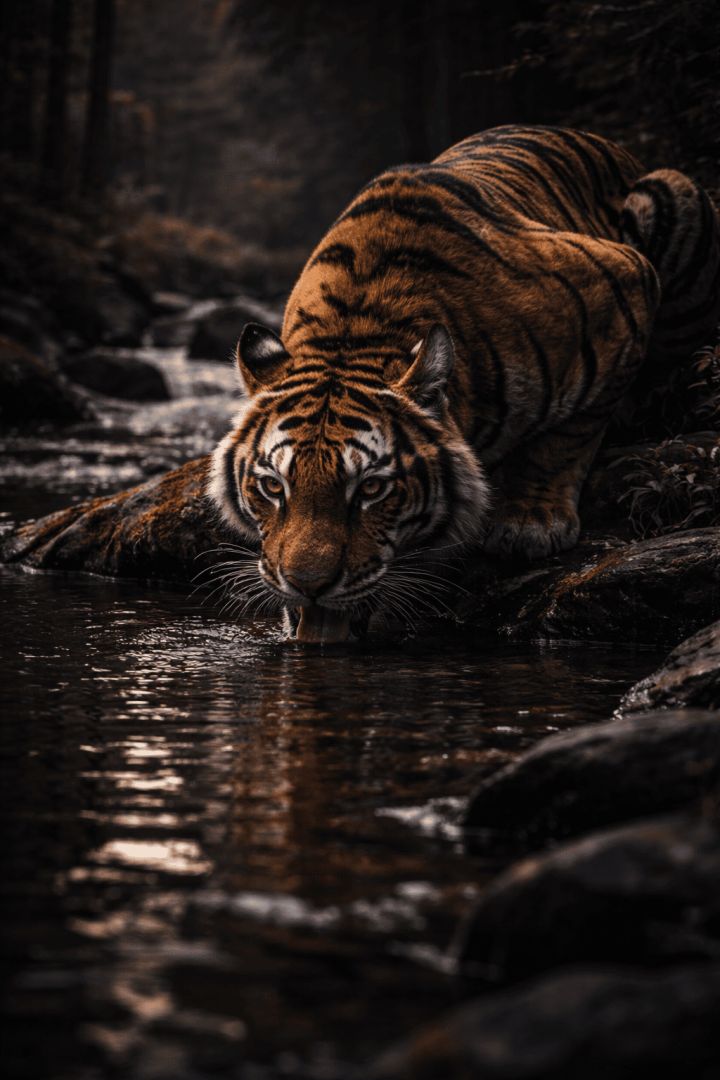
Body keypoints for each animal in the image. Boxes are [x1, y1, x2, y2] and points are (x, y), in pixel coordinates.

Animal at [208, 125, 720, 643]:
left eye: (372, 489)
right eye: (272, 486)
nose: (307, 586)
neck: (352, 335)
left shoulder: (623, 281)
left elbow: (566, 438)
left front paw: (531, 523)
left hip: (673, 197)